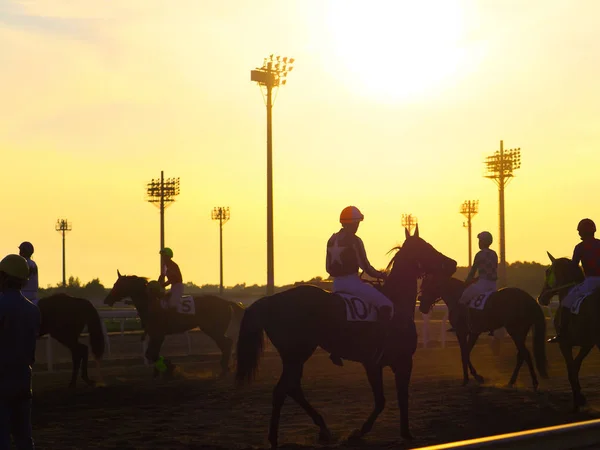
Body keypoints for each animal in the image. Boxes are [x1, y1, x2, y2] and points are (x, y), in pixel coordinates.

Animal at [104, 274, 245, 376]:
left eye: (118, 285)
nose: (106, 299)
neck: (151, 305)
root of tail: (227, 302)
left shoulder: (158, 335)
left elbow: (151, 354)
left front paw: (169, 367)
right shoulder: (154, 334)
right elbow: (151, 353)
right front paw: (161, 370)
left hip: (213, 329)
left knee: (226, 343)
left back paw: (224, 368)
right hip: (214, 330)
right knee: (226, 344)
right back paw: (225, 366)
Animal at [234, 227, 454, 448]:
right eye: (426, 247)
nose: (452, 263)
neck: (396, 303)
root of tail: (270, 301)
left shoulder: (392, 363)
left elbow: (397, 397)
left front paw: (402, 432)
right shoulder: (385, 363)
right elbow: (385, 399)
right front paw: (364, 432)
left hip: (295, 356)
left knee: (292, 387)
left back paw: (323, 429)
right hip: (297, 354)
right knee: (282, 390)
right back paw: (275, 438)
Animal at [418, 276, 548, 388]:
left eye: (426, 286)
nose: (421, 306)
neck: (457, 296)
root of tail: (529, 299)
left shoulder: (461, 331)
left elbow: (464, 354)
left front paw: (468, 379)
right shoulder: (473, 332)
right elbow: (467, 352)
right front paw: (476, 377)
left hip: (515, 331)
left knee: (525, 353)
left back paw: (534, 382)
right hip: (521, 332)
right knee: (521, 354)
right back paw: (512, 381)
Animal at [536, 253, 596, 412]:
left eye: (547, 272)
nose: (541, 298)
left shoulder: (564, 344)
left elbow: (571, 369)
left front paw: (577, 401)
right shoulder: (586, 344)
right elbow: (575, 366)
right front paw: (580, 397)